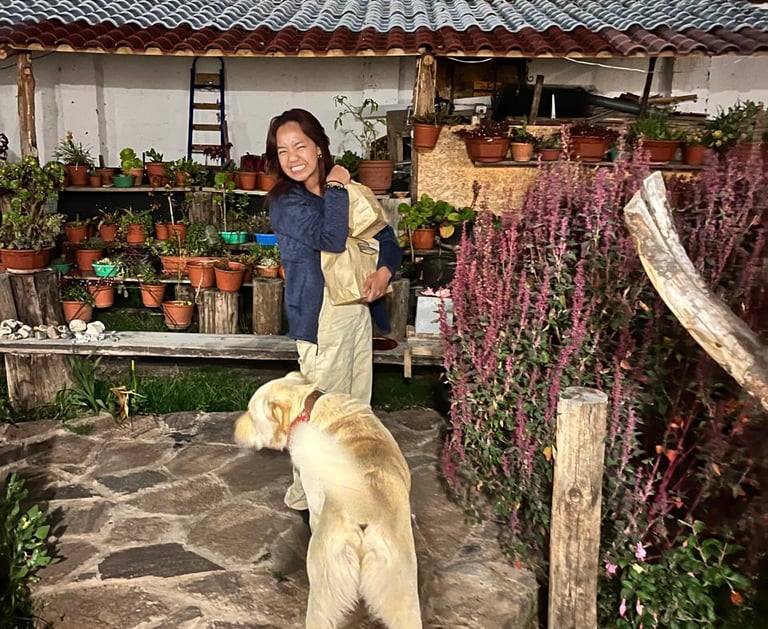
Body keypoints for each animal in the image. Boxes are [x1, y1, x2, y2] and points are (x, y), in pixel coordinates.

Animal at [234, 371, 422, 629]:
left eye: (251, 416)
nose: (233, 430)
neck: (307, 405)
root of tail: (364, 507)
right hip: (403, 593)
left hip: (323, 587)